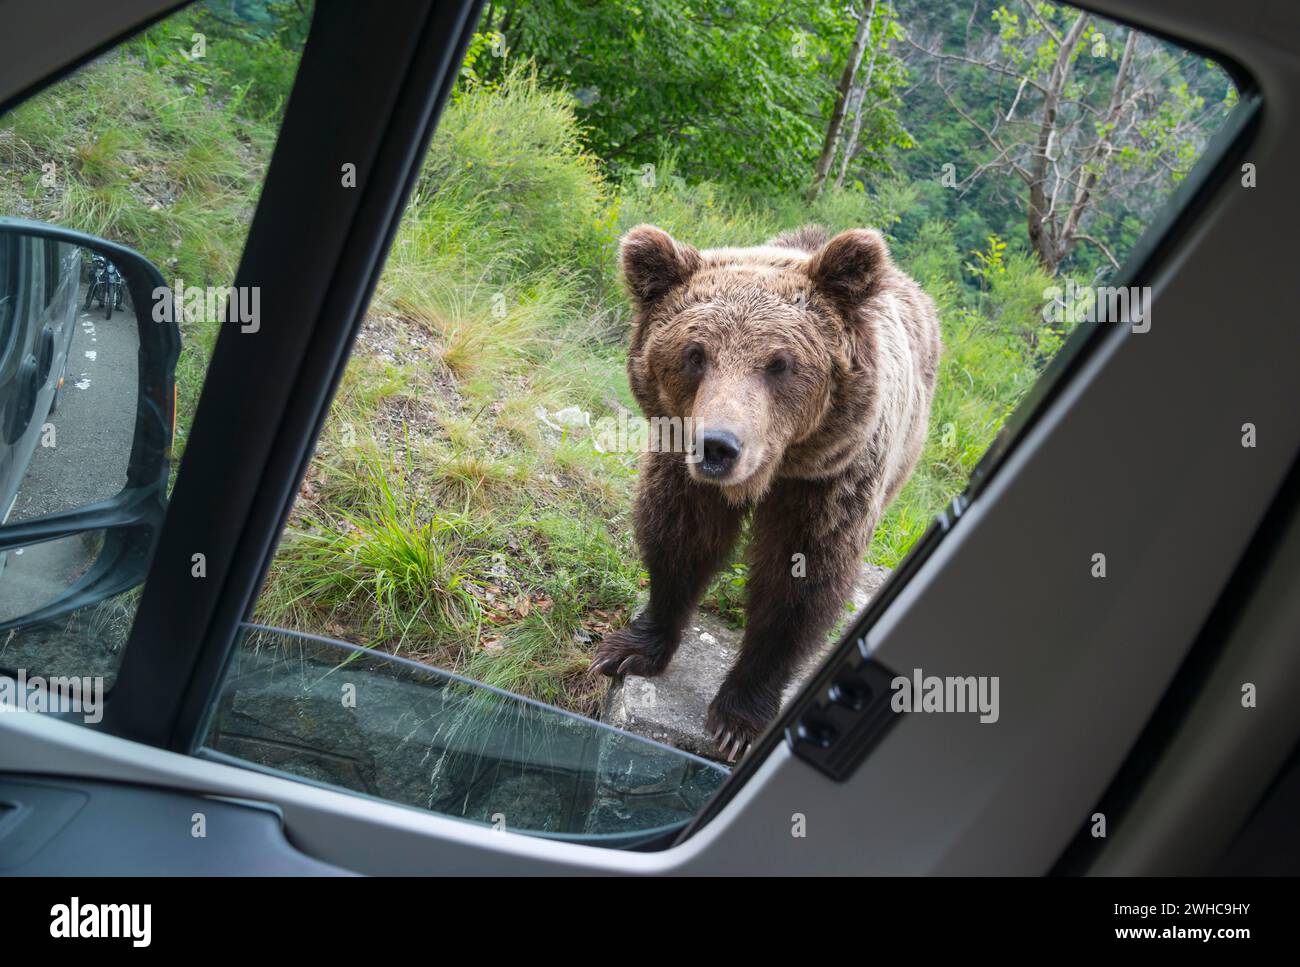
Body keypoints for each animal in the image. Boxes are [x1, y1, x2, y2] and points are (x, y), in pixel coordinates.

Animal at [592, 222, 946, 759]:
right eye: (695, 354)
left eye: (779, 363)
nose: (718, 446)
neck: (775, 472)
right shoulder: (683, 467)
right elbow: (678, 538)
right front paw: (629, 650)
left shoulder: (828, 483)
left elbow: (799, 582)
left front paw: (738, 720)